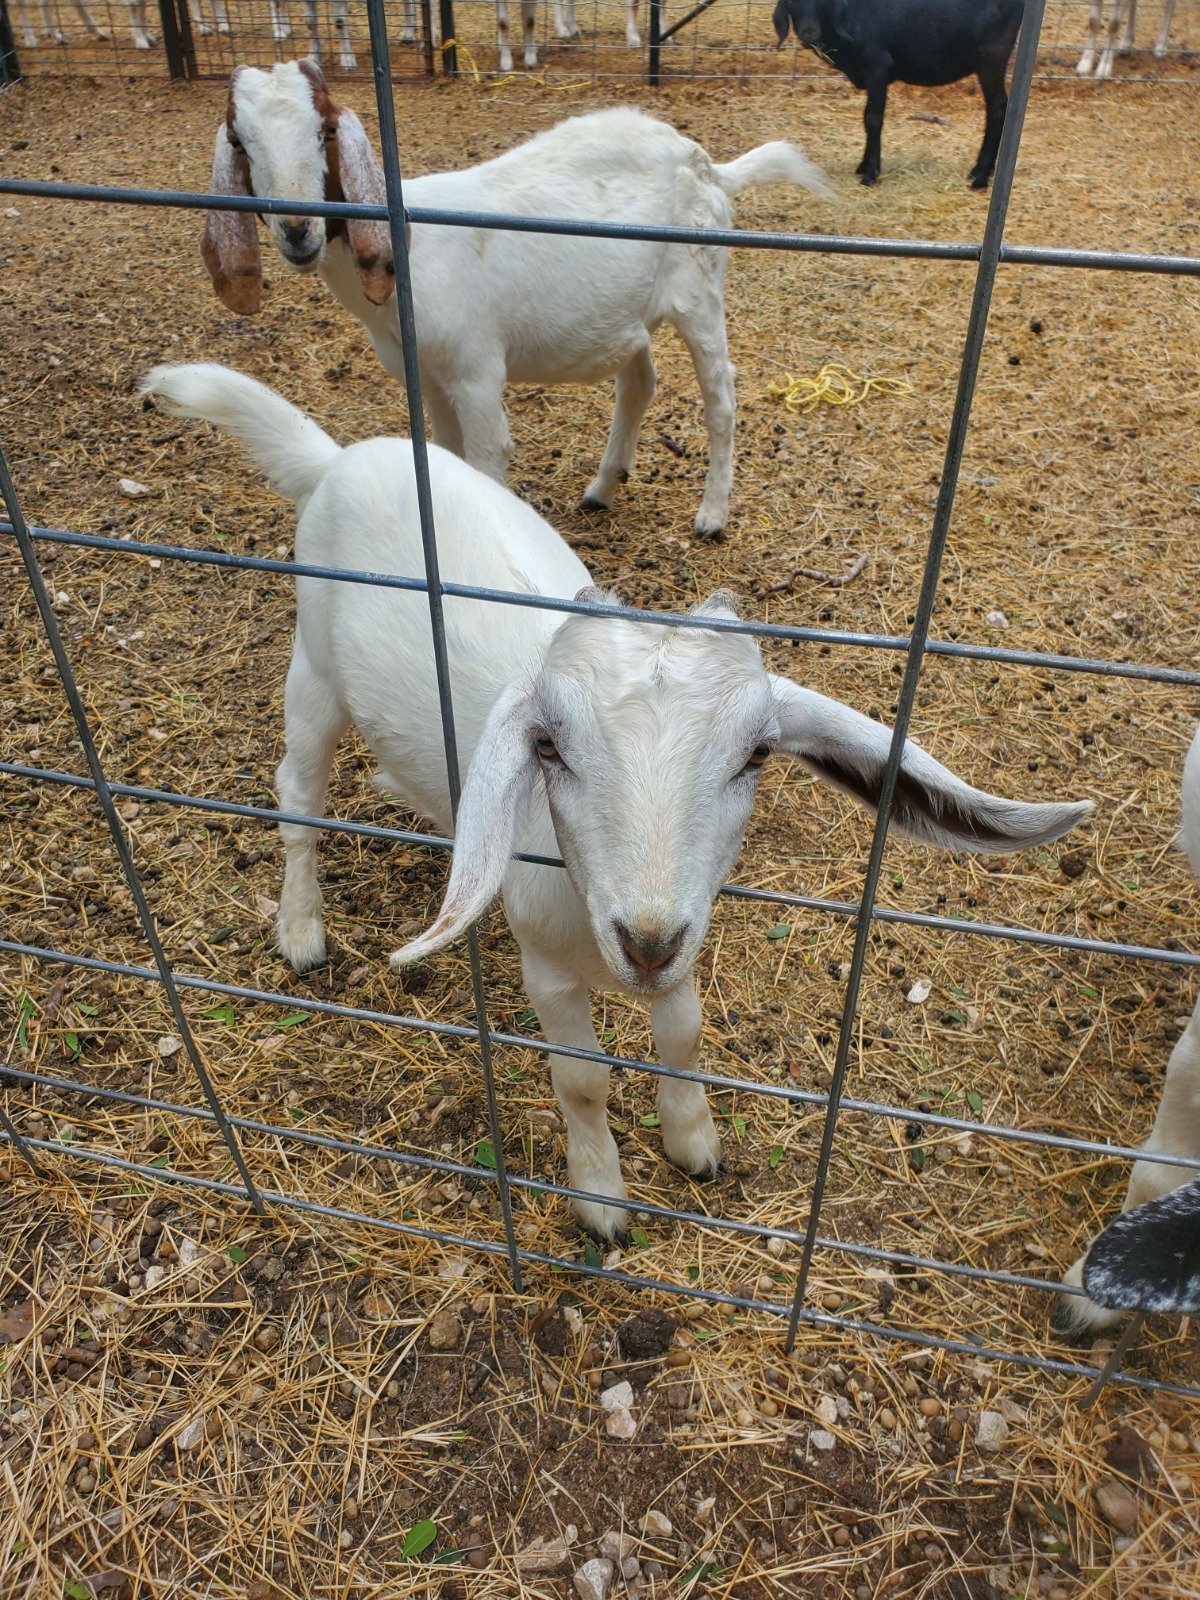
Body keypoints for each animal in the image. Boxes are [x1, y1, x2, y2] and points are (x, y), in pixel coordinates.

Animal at [141, 360, 1091, 1242]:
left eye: (757, 754)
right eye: (549, 748)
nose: (645, 941)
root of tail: (339, 458)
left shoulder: (688, 944)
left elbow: (684, 1035)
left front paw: (694, 1144)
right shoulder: (548, 969)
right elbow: (584, 1080)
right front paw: (601, 1198)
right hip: (313, 667)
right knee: (297, 794)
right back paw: (301, 928)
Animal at [200, 64, 831, 538]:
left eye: (326, 131)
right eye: (239, 140)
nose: (298, 231)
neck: (409, 245)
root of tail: (706, 163)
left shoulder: (475, 369)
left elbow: (485, 457)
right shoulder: (427, 374)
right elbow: (446, 455)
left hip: (700, 289)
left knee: (721, 394)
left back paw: (712, 515)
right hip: (626, 312)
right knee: (639, 383)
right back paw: (603, 487)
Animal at [772, 0, 1024, 188]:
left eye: (823, 0)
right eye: (792, 1)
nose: (809, 32)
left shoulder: (878, 66)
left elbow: (873, 119)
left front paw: (870, 173)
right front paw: (863, 166)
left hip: (991, 56)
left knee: (998, 108)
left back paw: (980, 175)